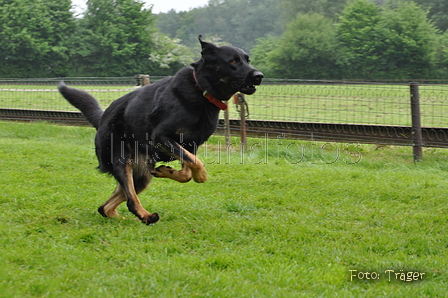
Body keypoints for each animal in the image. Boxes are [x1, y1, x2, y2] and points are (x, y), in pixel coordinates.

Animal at [58, 35, 262, 224]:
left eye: (247, 60)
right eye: (233, 61)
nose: (259, 75)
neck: (201, 90)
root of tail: (102, 118)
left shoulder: (191, 143)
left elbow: (188, 170)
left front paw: (167, 171)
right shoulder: (161, 137)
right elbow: (196, 164)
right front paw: (200, 175)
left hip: (142, 175)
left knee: (106, 207)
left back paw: (130, 217)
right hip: (123, 161)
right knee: (130, 199)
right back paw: (146, 216)